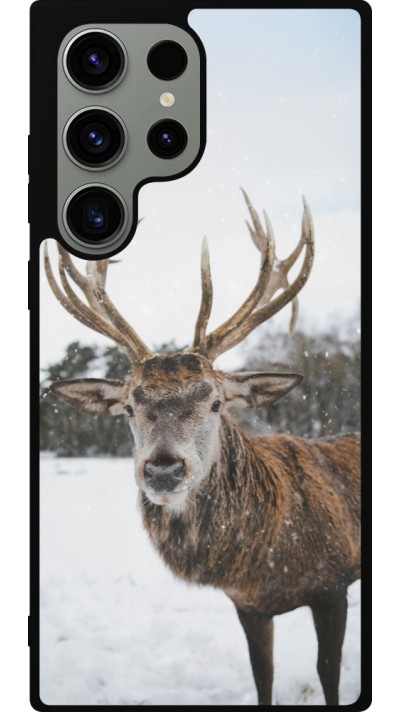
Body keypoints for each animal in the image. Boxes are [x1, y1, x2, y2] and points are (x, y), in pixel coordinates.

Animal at [44, 190, 361, 706]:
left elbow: (328, 675)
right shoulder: (248, 605)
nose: (163, 470)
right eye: (129, 406)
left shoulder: (333, 584)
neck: (265, 560)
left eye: (215, 402)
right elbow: (263, 676)